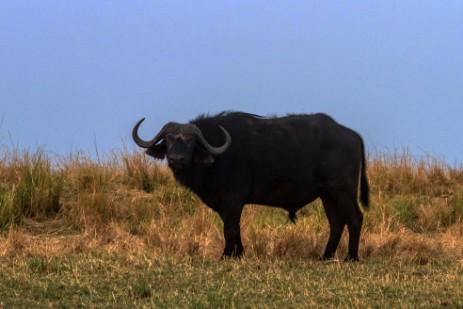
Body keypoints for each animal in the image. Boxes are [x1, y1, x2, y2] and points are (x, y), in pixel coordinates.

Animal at [133, 110, 370, 260]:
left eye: (191, 142)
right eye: (169, 139)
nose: (177, 159)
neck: (216, 157)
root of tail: (352, 135)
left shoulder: (233, 199)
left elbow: (229, 228)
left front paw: (226, 256)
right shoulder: (225, 205)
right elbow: (234, 227)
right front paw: (239, 254)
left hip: (344, 191)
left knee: (355, 218)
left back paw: (352, 257)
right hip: (327, 194)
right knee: (336, 222)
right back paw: (326, 256)